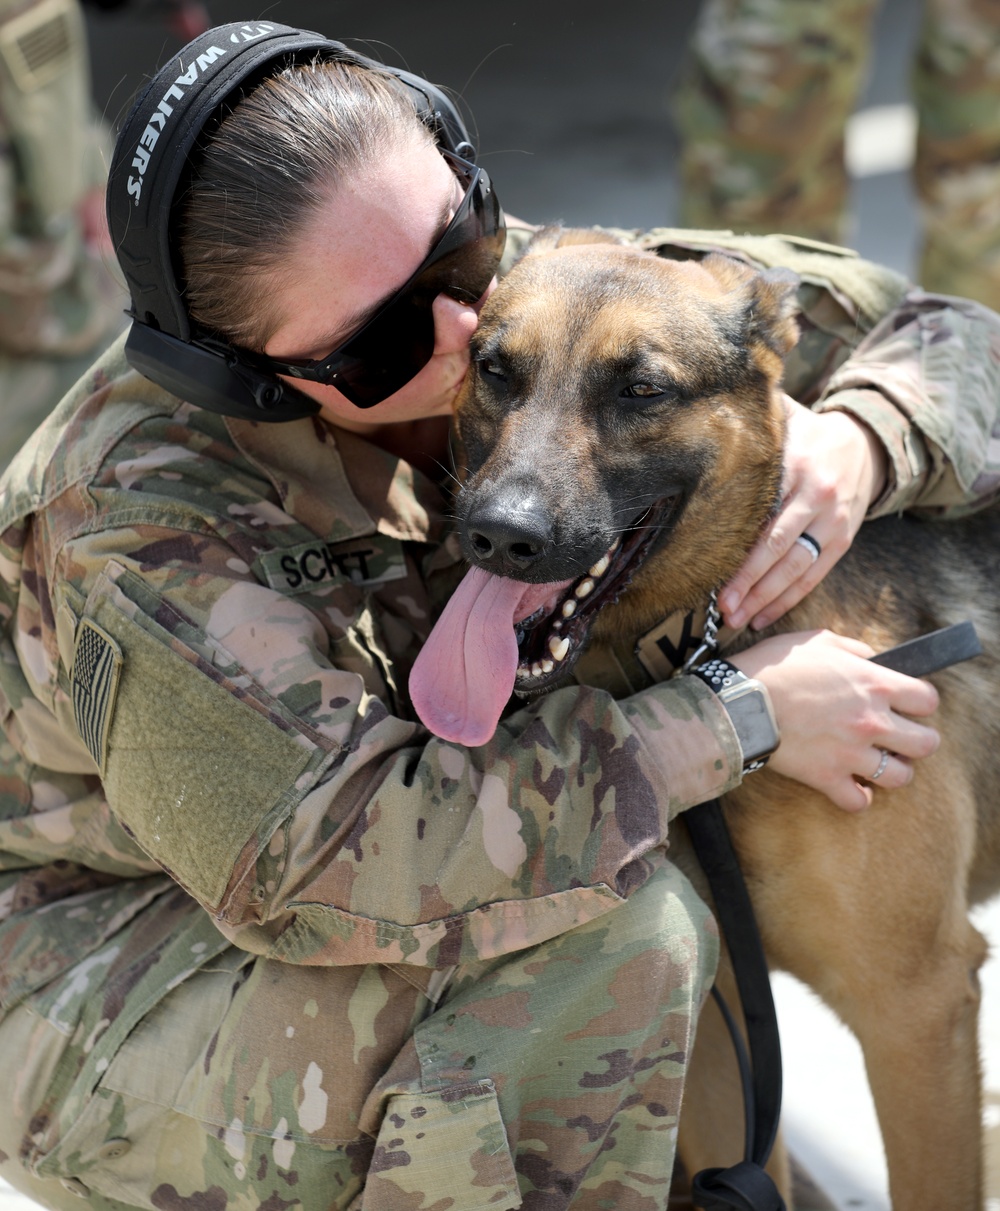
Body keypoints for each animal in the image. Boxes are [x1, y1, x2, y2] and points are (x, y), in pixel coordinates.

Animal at [409, 228, 997, 1211]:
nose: (497, 534)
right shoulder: (724, 1026)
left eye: (642, 390)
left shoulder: (916, 1010)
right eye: (494, 368)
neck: (697, 636)